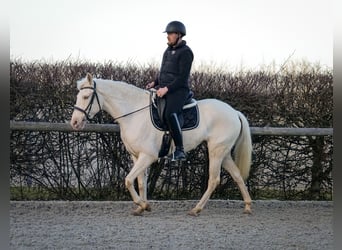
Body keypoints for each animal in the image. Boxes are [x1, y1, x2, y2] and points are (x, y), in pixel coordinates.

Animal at [70, 73, 251, 216]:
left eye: (86, 97)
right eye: (78, 97)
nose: (75, 122)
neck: (134, 114)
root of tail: (234, 112)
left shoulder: (148, 156)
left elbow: (128, 180)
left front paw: (143, 204)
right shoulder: (136, 156)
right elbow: (140, 183)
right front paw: (142, 207)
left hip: (216, 151)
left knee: (214, 180)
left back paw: (196, 209)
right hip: (223, 153)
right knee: (236, 175)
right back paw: (248, 206)